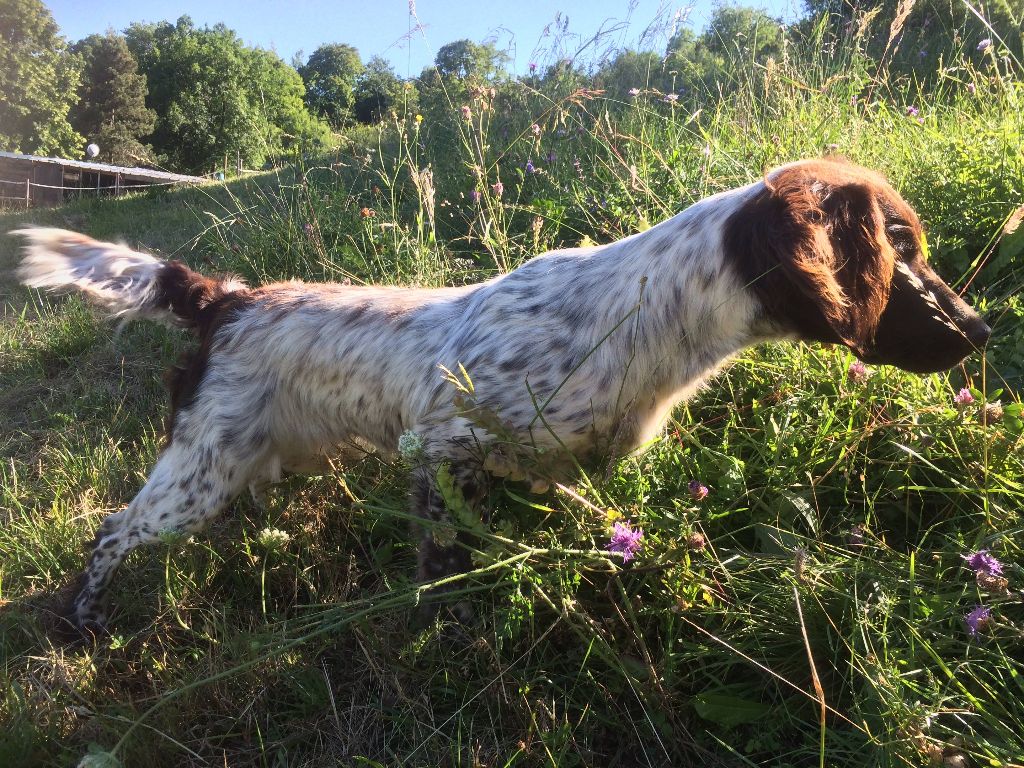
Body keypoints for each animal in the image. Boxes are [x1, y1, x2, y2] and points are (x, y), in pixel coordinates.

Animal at [14, 157, 991, 630]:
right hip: (196, 476)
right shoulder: (441, 447)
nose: (980, 330)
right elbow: (440, 570)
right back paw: (84, 618)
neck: (643, 317)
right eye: (897, 251)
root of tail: (224, 298)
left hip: (244, 459)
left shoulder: (546, 463)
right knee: (112, 532)